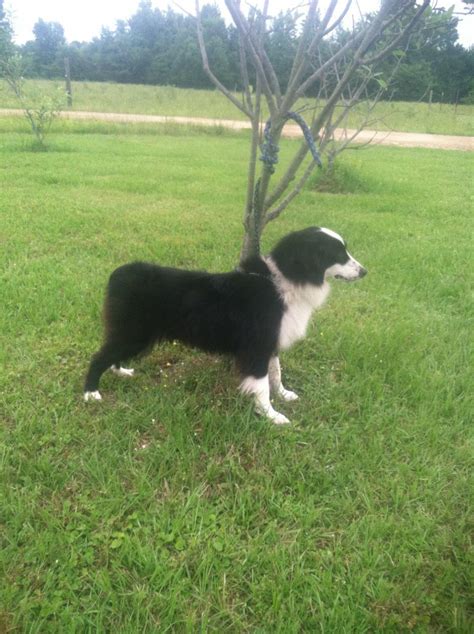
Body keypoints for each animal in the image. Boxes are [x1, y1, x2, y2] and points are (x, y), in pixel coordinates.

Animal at [84, 225, 366, 422]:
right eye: (337, 254)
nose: (364, 272)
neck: (284, 280)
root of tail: (119, 274)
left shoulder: (271, 342)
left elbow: (276, 373)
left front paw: (284, 395)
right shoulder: (257, 346)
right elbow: (261, 384)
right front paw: (271, 416)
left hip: (131, 333)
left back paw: (120, 372)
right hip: (135, 333)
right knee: (99, 357)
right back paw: (91, 394)